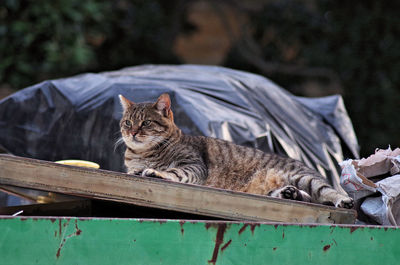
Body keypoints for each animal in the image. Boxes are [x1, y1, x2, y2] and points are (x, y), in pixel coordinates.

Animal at [118, 93, 354, 208]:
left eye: (146, 123)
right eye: (128, 122)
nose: (132, 132)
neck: (143, 153)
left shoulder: (193, 166)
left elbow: (173, 172)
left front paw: (155, 171)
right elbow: (135, 170)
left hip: (305, 178)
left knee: (325, 193)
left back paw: (342, 200)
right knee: (306, 197)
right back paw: (289, 193)